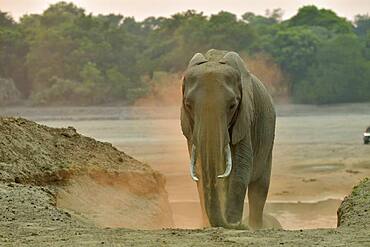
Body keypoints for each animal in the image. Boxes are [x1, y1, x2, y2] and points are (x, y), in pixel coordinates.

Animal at [181, 48, 276, 230]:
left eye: (233, 105)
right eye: (188, 105)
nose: (238, 224)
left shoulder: (245, 119)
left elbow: (241, 166)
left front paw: (233, 222)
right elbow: (200, 169)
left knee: (260, 187)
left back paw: (255, 226)